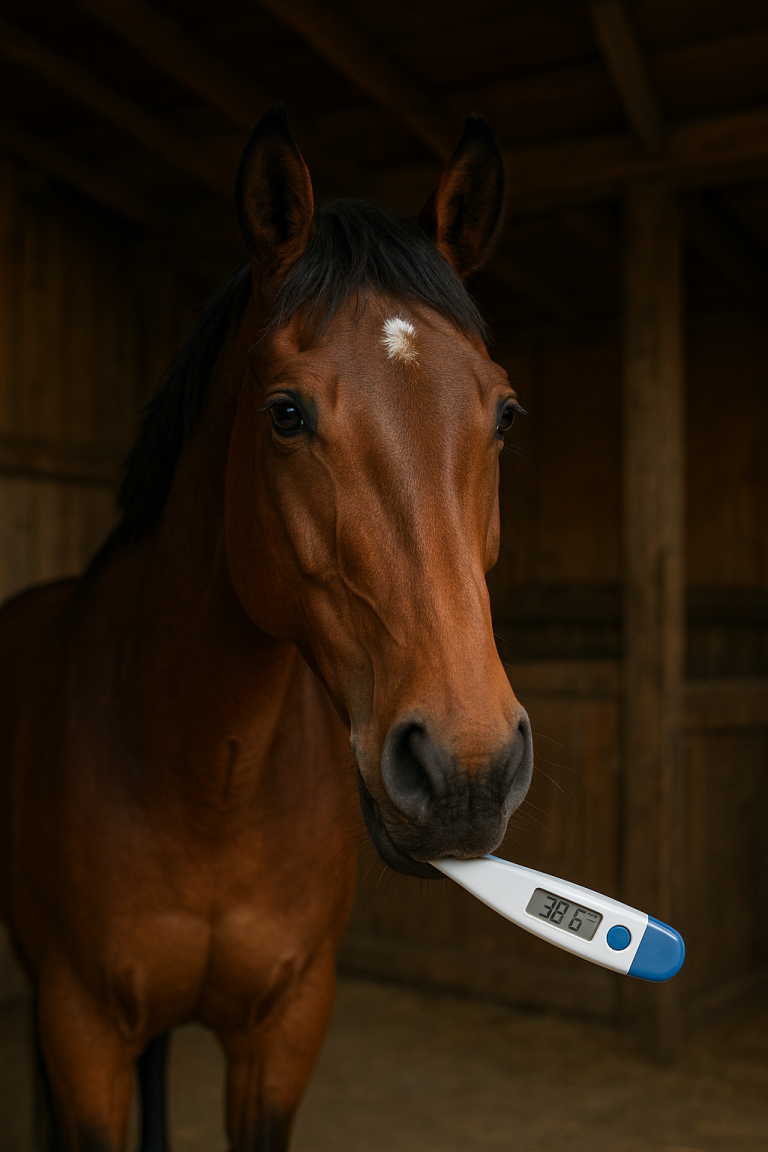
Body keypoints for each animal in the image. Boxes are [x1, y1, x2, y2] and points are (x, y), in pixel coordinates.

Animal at [0, 104, 533, 1152]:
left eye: (501, 414)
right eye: (285, 414)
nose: (467, 772)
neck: (212, 781)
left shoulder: (284, 1031)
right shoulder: (82, 1031)